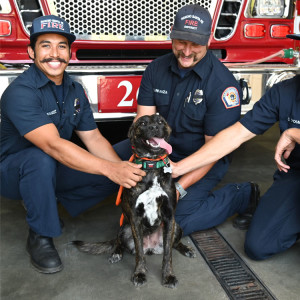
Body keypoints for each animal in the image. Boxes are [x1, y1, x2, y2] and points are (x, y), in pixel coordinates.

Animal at [72, 113, 195, 288]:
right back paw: (116, 253)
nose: (154, 127)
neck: (151, 166)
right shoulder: (135, 218)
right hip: (125, 228)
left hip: (176, 226)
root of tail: (151, 247)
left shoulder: (169, 216)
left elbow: (168, 254)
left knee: (173, 243)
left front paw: (168, 275)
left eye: (160, 121)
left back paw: (186, 249)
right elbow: (139, 252)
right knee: (119, 242)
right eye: (142, 123)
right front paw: (139, 273)